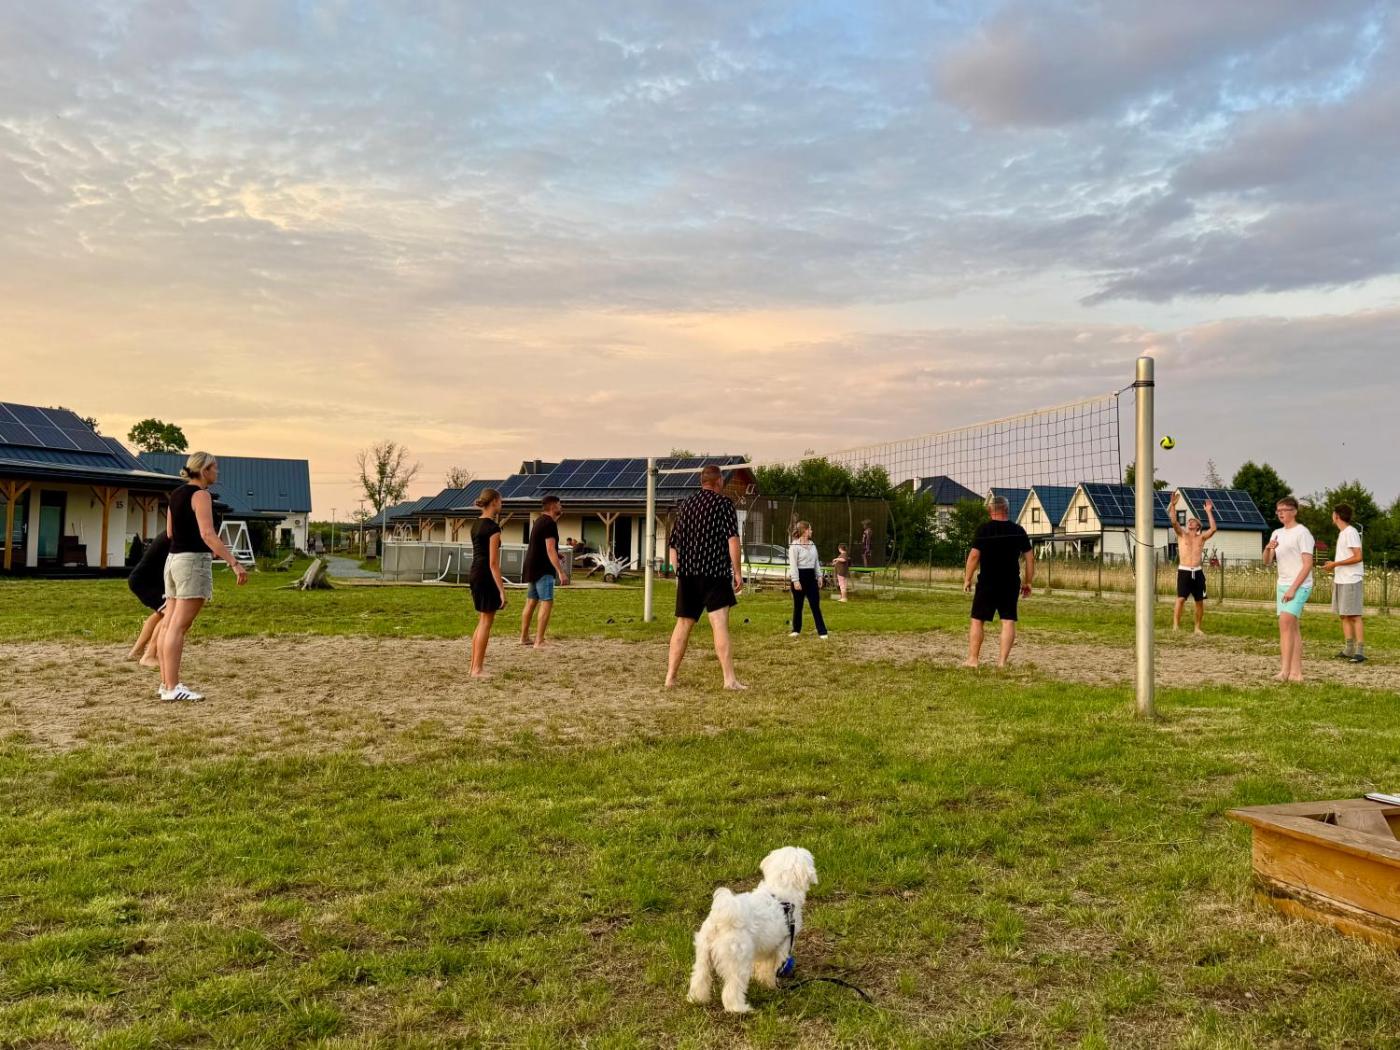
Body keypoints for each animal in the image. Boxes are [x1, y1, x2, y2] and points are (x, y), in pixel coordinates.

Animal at [687, 846, 818, 1013]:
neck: (780, 890)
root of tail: (721, 918)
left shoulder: (764, 948)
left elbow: (761, 965)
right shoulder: (782, 945)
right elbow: (769, 968)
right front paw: (769, 985)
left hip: (703, 954)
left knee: (700, 977)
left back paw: (697, 999)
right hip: (738, 960)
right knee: (732, 988)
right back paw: (739, 1008)